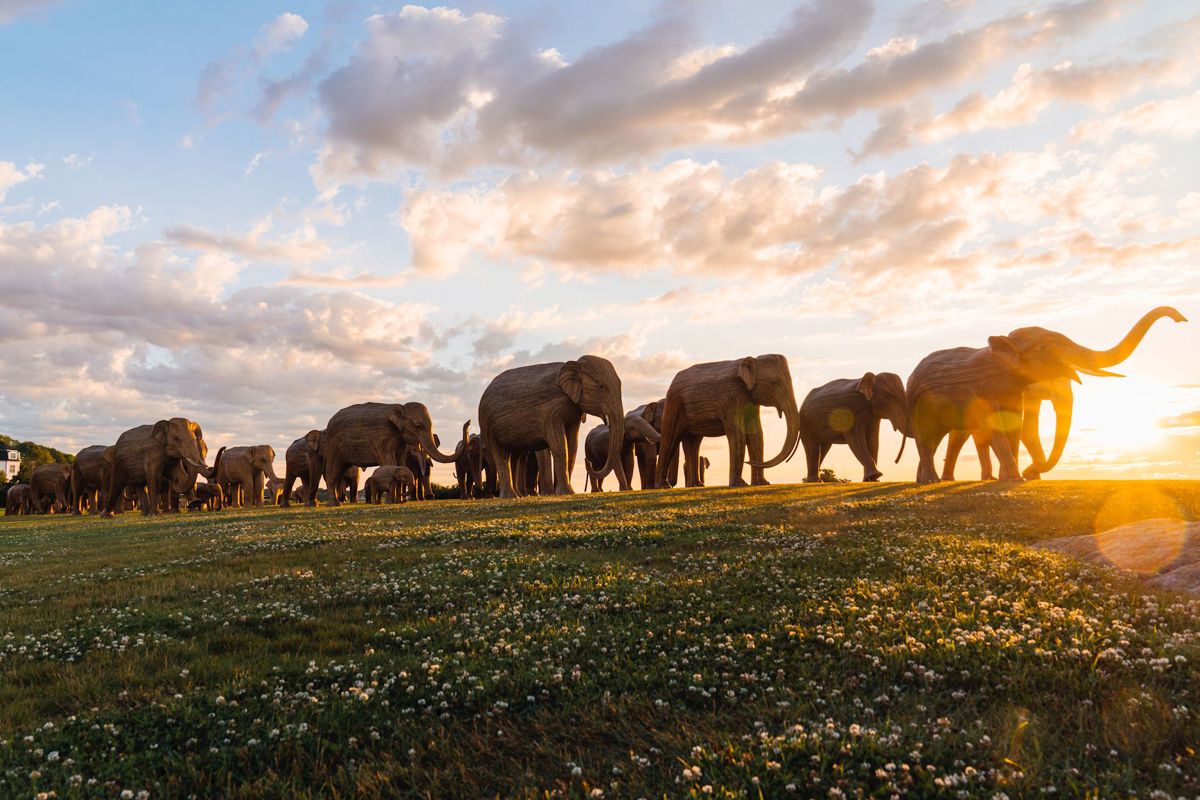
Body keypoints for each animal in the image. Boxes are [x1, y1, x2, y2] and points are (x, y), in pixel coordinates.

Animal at [319, 402, 466, 507]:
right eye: (418, 425)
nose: (467, 422)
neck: (401, 407)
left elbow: (400, 463)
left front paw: (399, 502)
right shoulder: (383, 437)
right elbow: (390, 462)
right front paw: (395, 501)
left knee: (339, 472)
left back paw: (338, 502)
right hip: (333, 447)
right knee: (333, 472)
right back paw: (334, 505)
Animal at [478, 355, 626, 498]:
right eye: (601, 386)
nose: (588, 462)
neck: (574, 364)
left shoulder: (574, 414)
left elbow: (572, 446)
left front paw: (567, 493)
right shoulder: (551, 412)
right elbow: (560, 446)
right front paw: (566, 493)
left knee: (515, 456)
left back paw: (517, 496)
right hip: (488, 425)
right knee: (501, 455)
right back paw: (509, 496)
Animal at [654, 355, 800, 489]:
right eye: (774, 382)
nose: (749, 461)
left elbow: (757, 436)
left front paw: (762, 483)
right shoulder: (732, 399)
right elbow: (738, 434)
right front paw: (740, 485)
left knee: (693, 443)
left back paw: (696, 485)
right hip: (674, 404)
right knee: (670, 439)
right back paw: (664, 486)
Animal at [907, 306, 1186, 484]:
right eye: (1043, 348)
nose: (1181, 319)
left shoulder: (1015, 391)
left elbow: (1017, 425)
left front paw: (1017, 478)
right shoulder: (985, 390)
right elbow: (1002, 426)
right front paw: (1017, 477)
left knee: (936, 441)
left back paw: (931, 480)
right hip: (922, 406)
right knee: (929, 440)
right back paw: (932, 481)